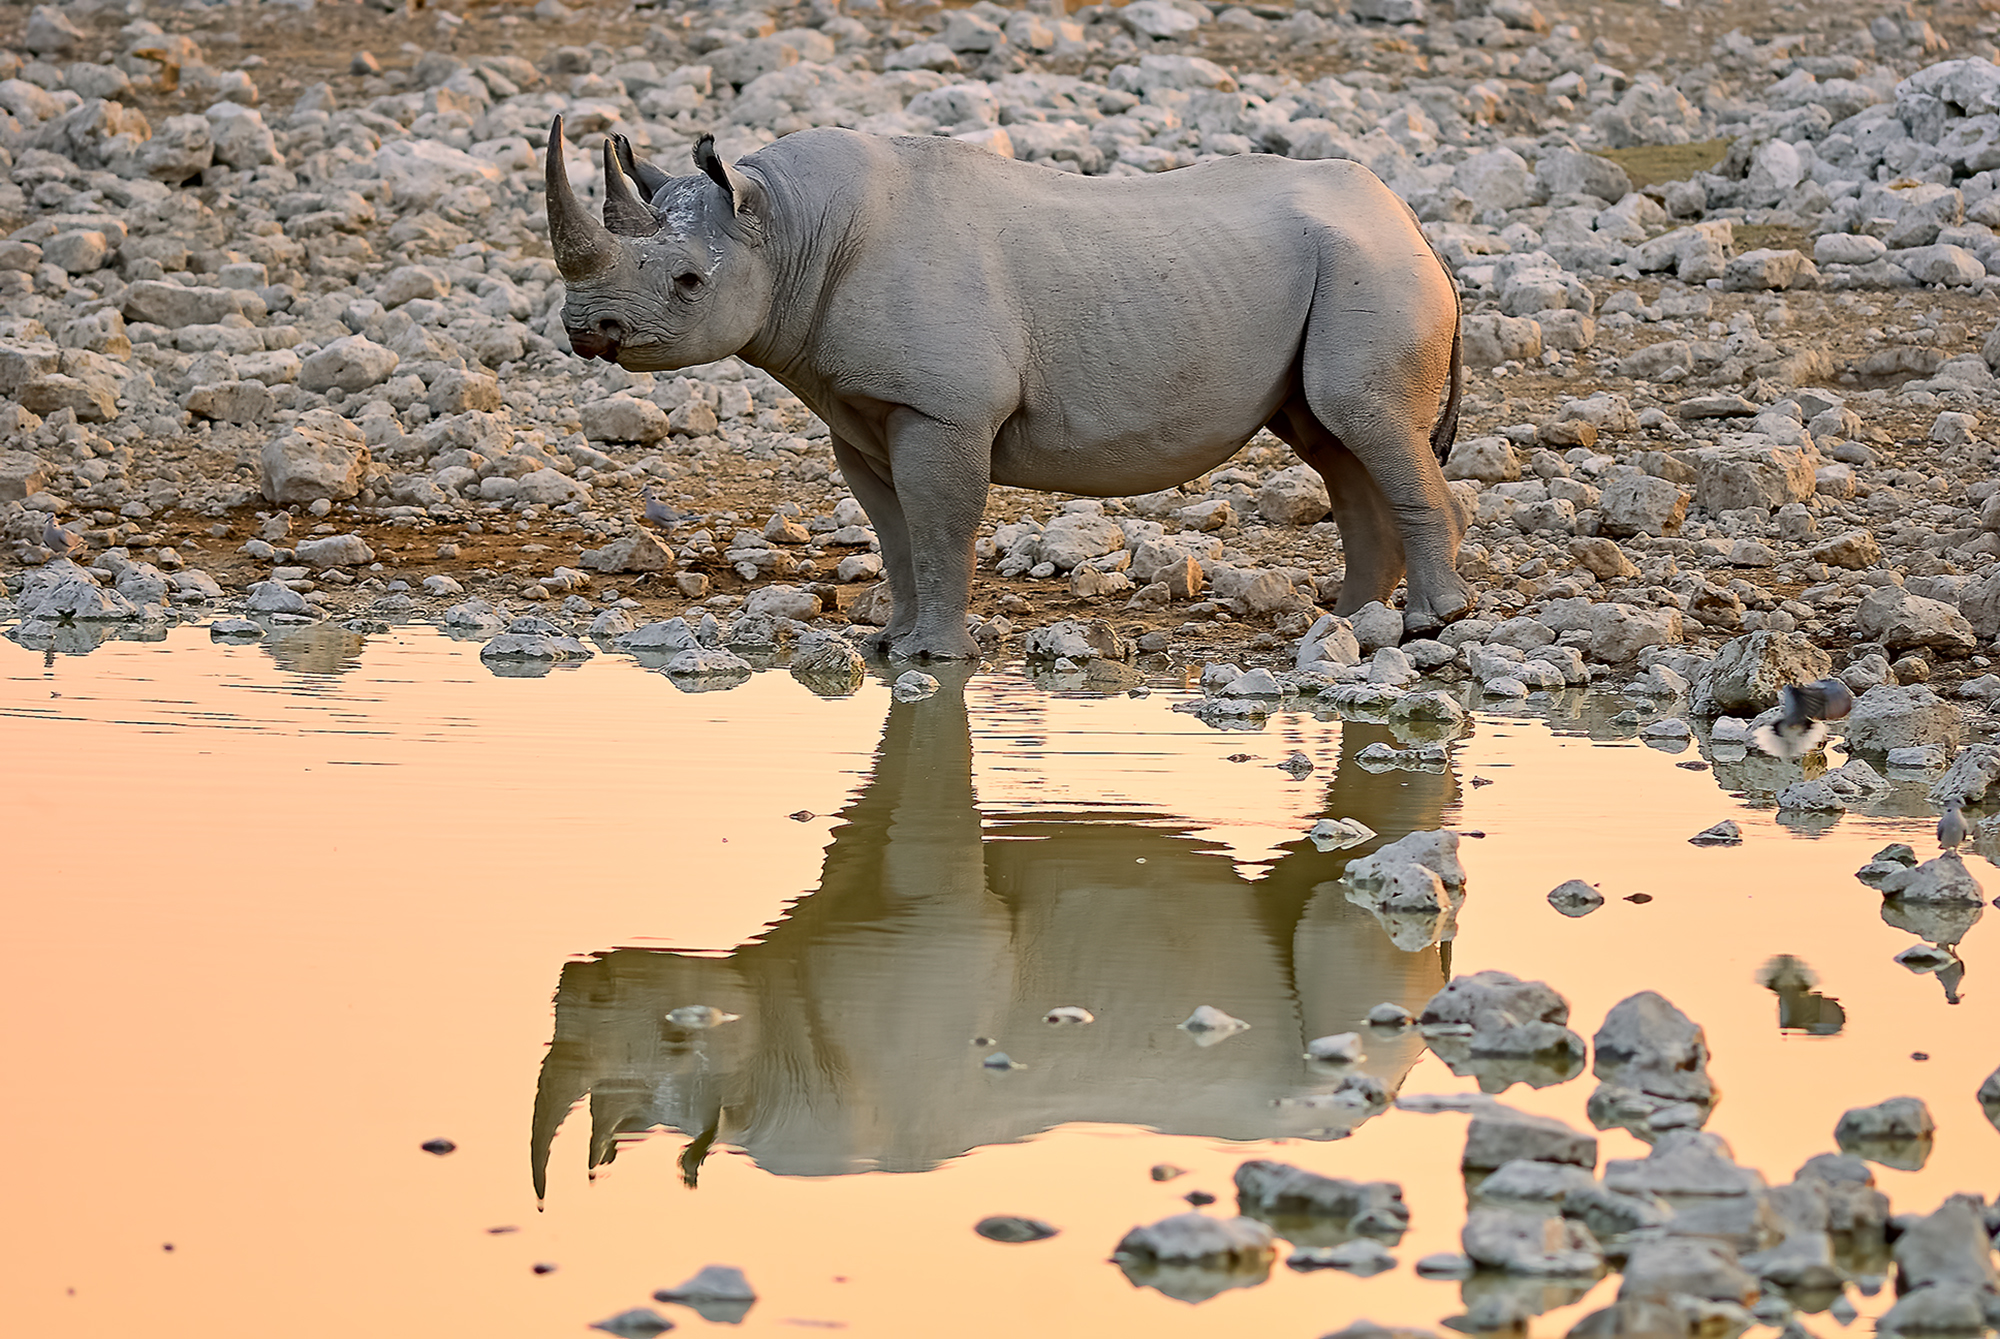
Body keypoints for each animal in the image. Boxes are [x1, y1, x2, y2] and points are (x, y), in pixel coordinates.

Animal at [545, 116, 1471, 659]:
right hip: (1344, 263)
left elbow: (941, 523)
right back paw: (1346, 622)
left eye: (689, 282)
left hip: (1369, 265)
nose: (588, 330)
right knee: (1332, 439)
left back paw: (1432, 625)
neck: (783, 225)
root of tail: (1411, 222)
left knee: (1360, 416)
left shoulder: (942, 407)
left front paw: (935, 657)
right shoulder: (859, 411)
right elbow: (894, 530)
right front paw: (889, 644)